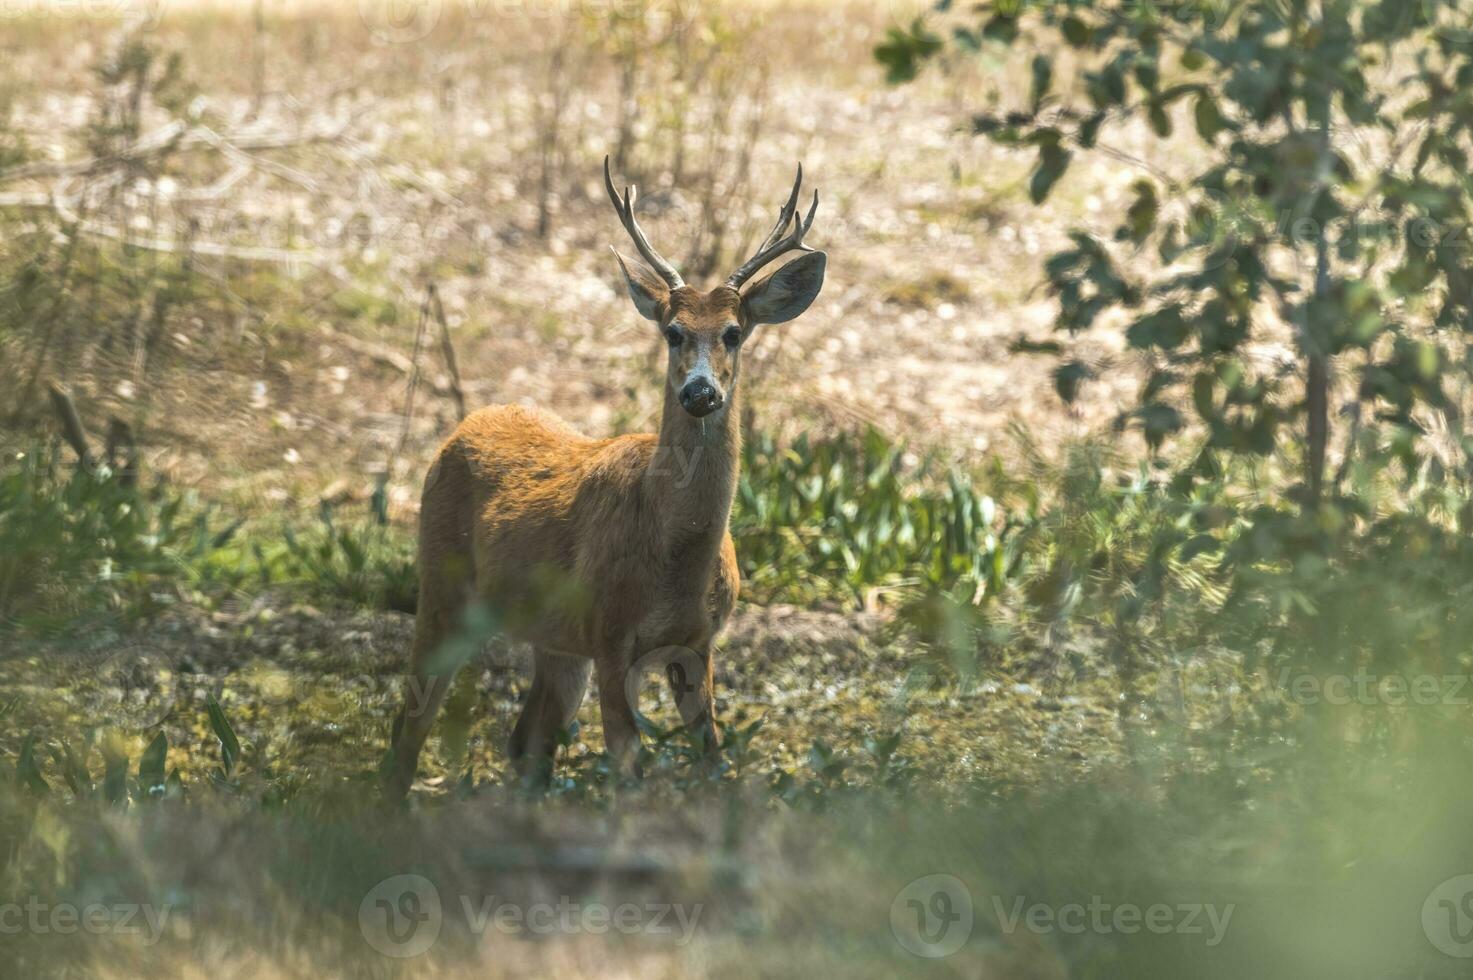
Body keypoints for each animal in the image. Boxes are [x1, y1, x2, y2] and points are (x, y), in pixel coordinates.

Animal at [382, 153, 830, 795]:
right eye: (672, 332)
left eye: (733, 332)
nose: (700, 393)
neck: (676, 562)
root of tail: (457, 431)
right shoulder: (612, 636)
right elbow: (627, 765)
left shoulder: (697, 645)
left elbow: (713, 756)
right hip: (444, 586)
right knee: (413, 721)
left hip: (556, 639)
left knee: (527, 740)